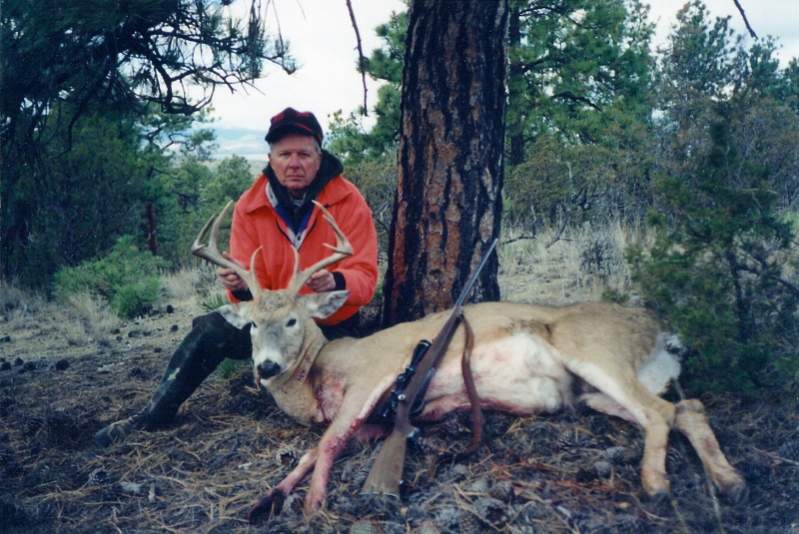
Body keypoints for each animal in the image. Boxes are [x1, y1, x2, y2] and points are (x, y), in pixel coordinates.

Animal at [192, 202, 744, 524]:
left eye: (291, 320)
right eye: (251, 325)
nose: (265, 368)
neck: (319, 371)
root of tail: (662, 331)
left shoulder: (373, 377)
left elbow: (324, 444)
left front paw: (312, 505)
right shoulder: (374, 421)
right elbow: (313, 449)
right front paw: (266, 499)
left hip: (594, 352)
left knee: (662, 411)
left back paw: (657, 486)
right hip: (592, 391)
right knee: (687, 407)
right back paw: (729, 481)